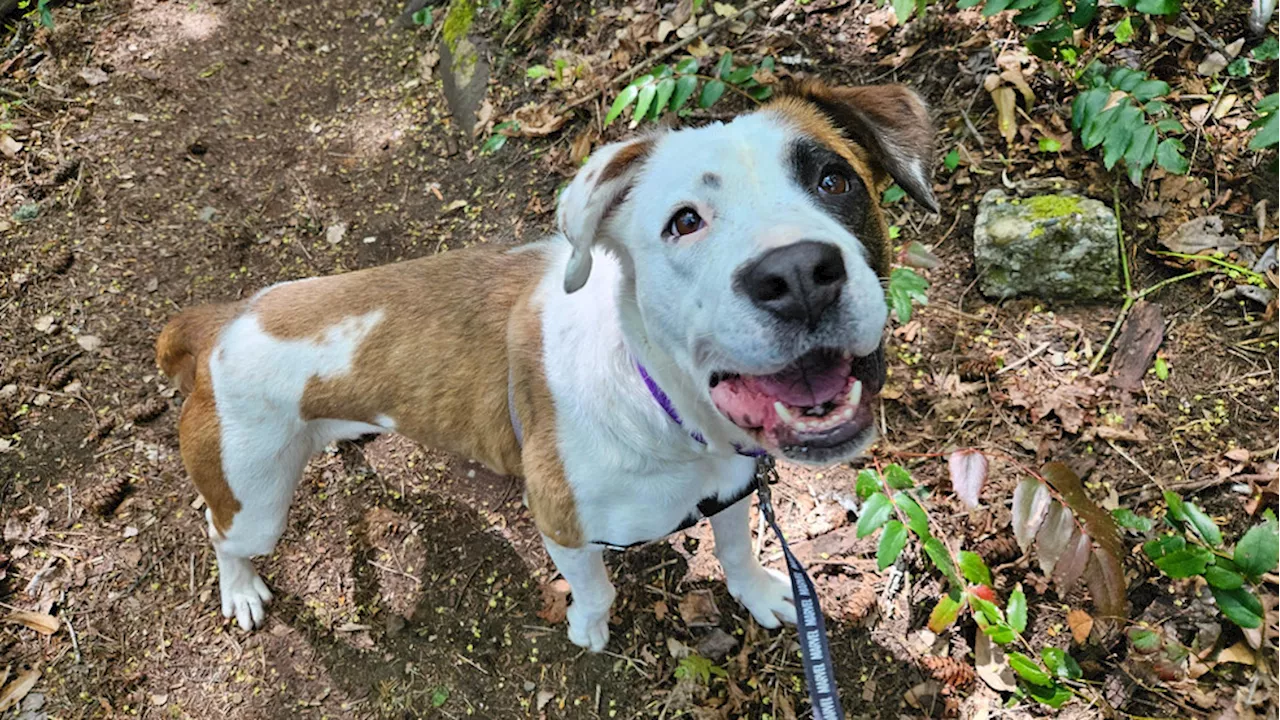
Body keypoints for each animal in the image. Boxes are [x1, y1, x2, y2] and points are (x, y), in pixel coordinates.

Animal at [157, 79, 942, 650]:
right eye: (684, 222)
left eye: (835, 180)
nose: (799, 274)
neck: (666, 410)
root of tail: (221, 318)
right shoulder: (562, 526)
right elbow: (597, 589)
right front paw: (589, 631)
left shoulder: (731, 492)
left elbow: (737, 551)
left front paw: (757, 594)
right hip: (254, 498)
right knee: (221, 533)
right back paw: (240, 591)